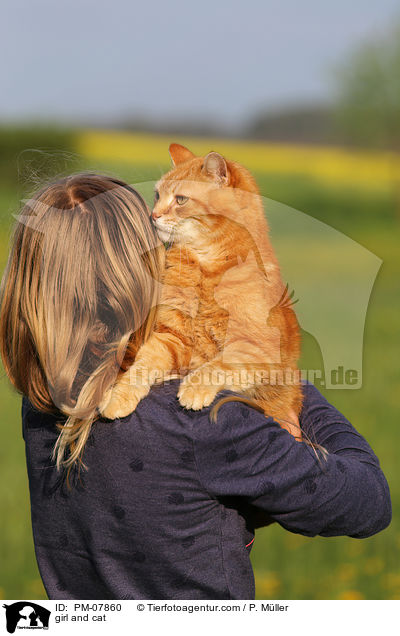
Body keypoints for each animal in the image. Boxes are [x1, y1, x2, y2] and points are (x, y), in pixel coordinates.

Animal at [100, 143, 304, 438]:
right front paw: (118, 396)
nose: (153, 215)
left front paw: (193, 389)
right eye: (158, 195)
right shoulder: (172, 338)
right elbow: (141, 367)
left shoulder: (257, 347)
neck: (204, 269)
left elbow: (218, 365)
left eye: (181, 200)